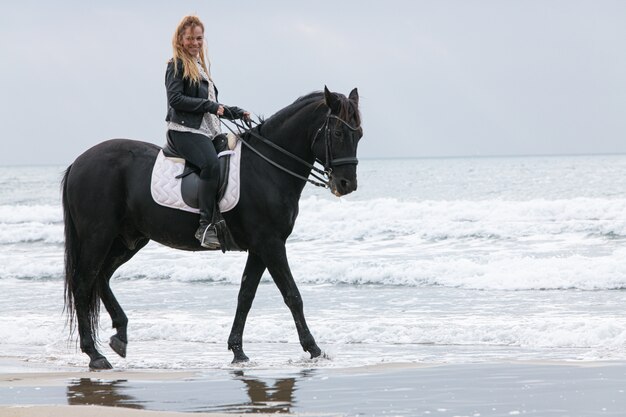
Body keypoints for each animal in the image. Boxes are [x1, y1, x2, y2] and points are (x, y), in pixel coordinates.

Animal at [61, 86, 360, 368]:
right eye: (337, 133)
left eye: (358, 135)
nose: (346, 184)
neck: (266, 167)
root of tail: (79, 162)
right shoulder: (271, 244)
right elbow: (292, 295)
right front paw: (314, 349)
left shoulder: (259, 248)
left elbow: (245, 295)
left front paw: (238, 351)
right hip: (98, 236)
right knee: (84, 283)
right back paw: (95, 354)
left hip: (127, 240)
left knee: (101, 277)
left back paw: (120, 336)